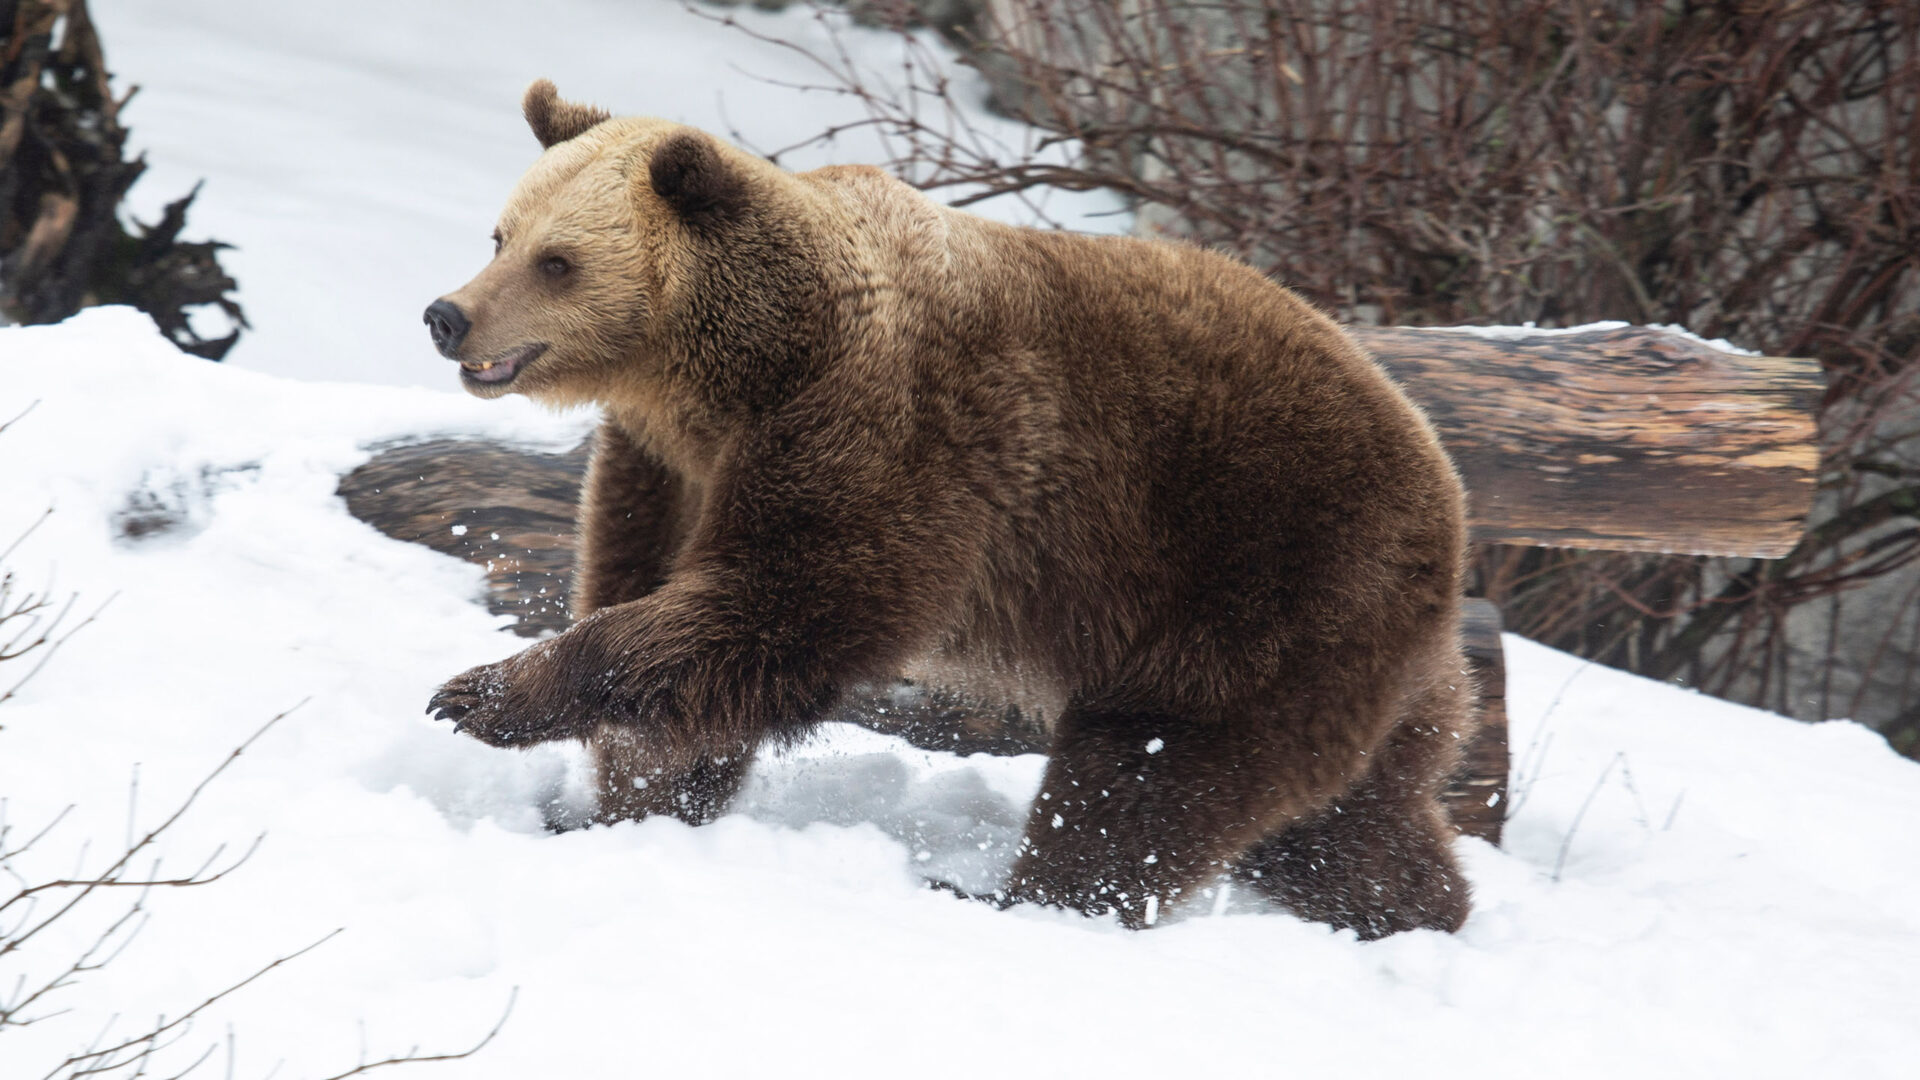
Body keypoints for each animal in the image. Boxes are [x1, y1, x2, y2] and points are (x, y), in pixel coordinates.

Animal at [420, 79, 1466, 933]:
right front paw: (628, 805)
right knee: (1347, 816)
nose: (447, 315)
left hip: (1262, 575)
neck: (735, 374)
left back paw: (1013, 896)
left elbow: (779, 606)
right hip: (1359, 656)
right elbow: (649, 590)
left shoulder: (889, 431)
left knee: (1148, 772)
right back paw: (1416, 908)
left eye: (558, 261)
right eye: (500, 235)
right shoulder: (669, 465)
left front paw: (481, 695)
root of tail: (1445, 494)